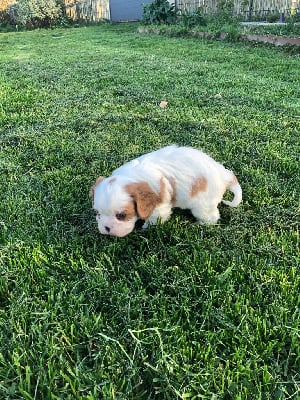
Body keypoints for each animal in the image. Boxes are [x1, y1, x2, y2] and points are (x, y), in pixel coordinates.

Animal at [90, 145, 243, 236]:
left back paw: (199, 225)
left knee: (212, 217)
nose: (107, 228)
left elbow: (154, 219)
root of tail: (224, 174)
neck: (132, 177)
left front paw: (146, 228)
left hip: (203, 205)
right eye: (97, 213)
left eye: (121, 215)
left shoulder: (159, 206)